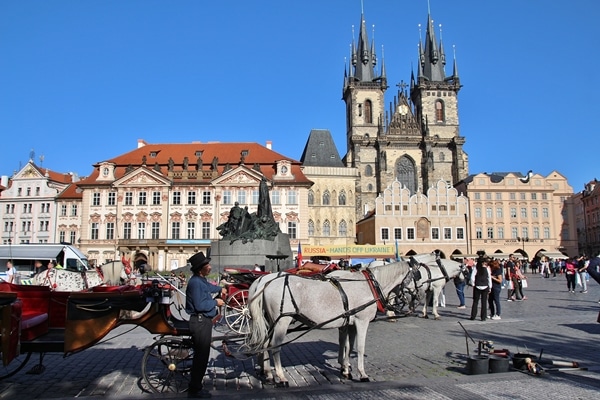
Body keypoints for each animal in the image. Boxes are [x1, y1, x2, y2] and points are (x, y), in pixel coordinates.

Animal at [246, 260, 414, 386]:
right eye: (416, 275)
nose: (416, 297)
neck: (369, 285)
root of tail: (265, 282)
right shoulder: (362, 321)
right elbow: (359, 347)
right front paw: (362, 374)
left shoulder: (349, 323)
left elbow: (347, 345)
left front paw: (346, 369)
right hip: (282, 321)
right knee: (275, 347)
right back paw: (281, 377)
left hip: (270, 321)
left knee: (265, 344)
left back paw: (268, 374)